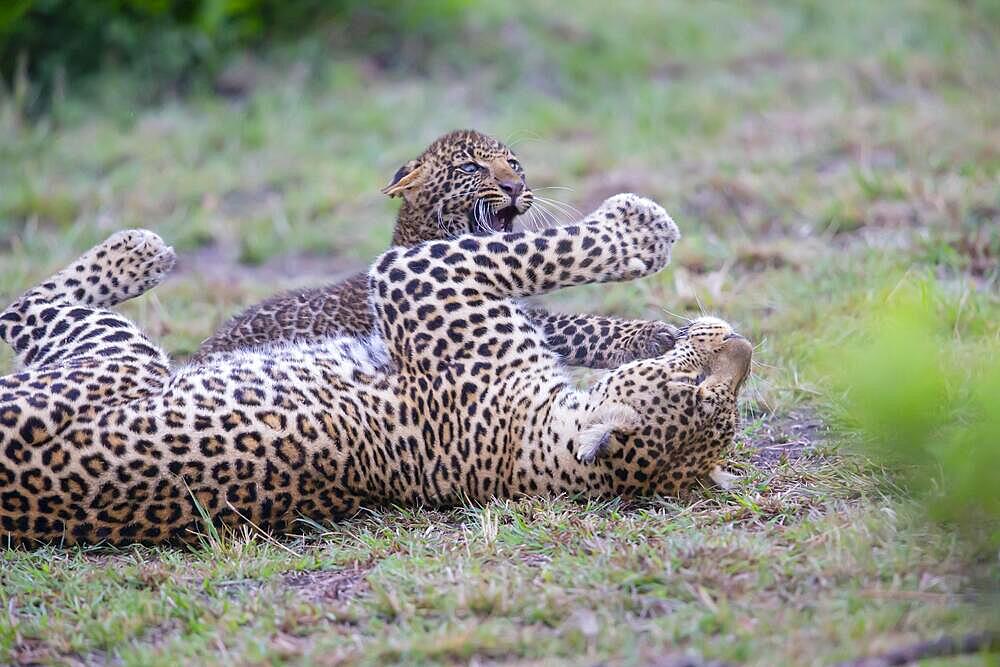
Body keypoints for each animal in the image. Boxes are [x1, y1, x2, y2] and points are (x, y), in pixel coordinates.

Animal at [0, 194, 752, 548]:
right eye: (696, 382)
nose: (741, 345)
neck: (531, 449)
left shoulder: (420, 276)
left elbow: (547, 250)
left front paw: (642, 226)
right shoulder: (427, 277)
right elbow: (539, 256)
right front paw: (644, 235)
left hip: (118, 358)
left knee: (23, 307)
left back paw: (140, 250)